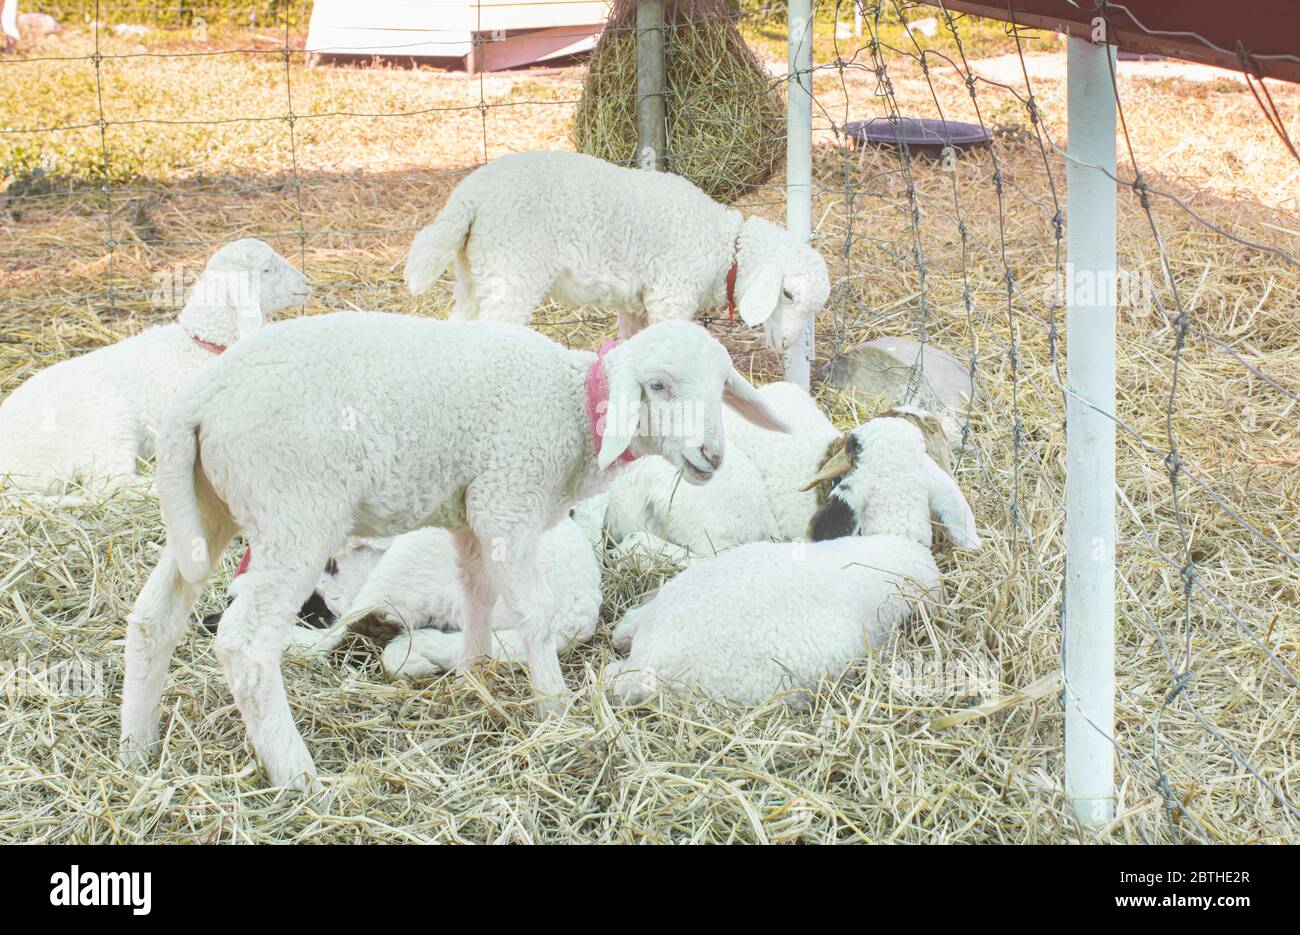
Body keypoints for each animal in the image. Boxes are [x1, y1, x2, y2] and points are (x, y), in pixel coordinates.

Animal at [0, 239, 309, 496]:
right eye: (267, 269)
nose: (306, 282)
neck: (203, 345)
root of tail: (9, 470)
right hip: (108, 423)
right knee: (110, 484)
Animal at [404, 151, 830, 353]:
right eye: (788, 294)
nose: (788, 344)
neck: (723, 247)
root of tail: (469, 197)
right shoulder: (671, 294)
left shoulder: (635, 304)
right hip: (512, 270)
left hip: (474, 272)